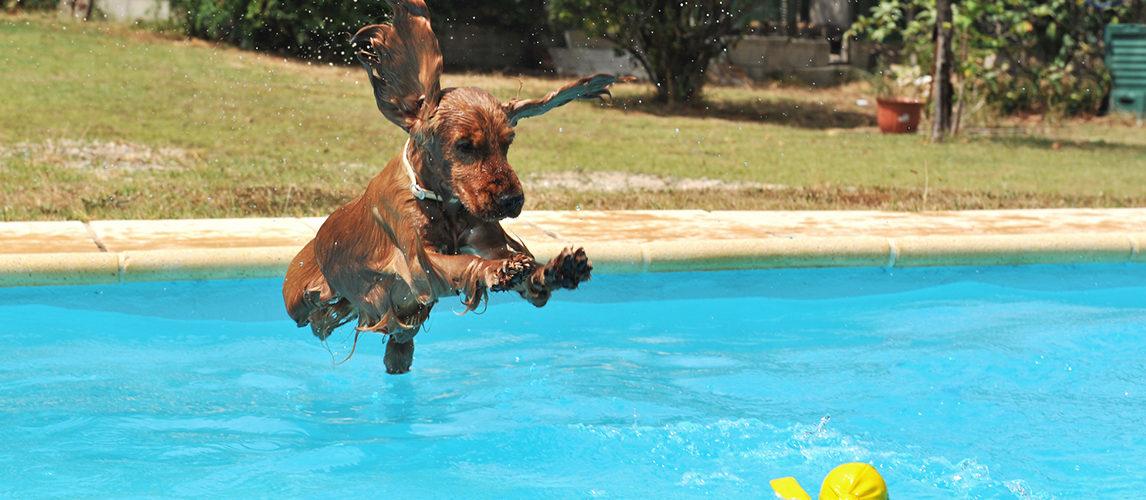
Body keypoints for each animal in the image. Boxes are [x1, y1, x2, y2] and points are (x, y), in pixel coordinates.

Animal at [280, 0, 632, 373]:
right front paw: (497, 271)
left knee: (397, 341)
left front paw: (557, 269)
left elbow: (524, 273)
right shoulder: (418, 264)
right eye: (465, 146)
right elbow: (462, 264)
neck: (443, 204)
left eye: (507, 143)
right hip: (298, 296)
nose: (512, 200)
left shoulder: (486, 240)